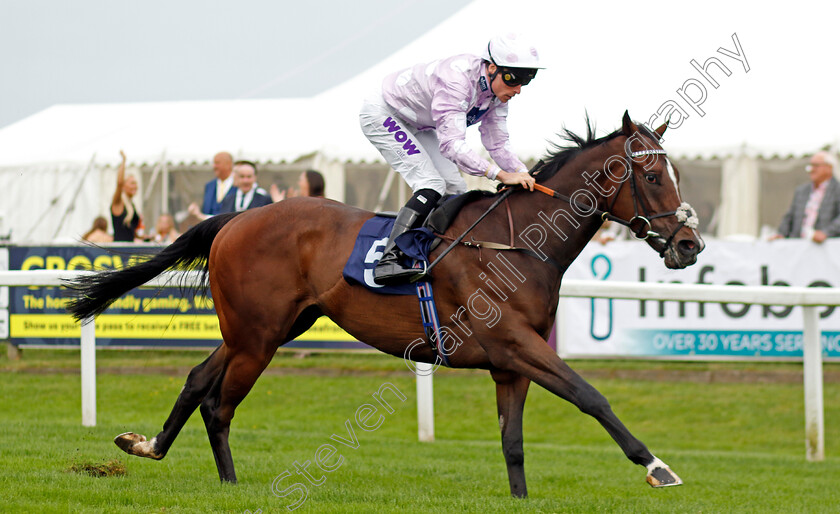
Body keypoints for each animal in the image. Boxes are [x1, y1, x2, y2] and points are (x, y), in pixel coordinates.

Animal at [65, 112, 704, 496]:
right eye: (651, 175)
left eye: (675, 172)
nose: (689, 244)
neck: (519, 243)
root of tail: (236, 217)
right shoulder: (516, 345)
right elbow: (591, 396)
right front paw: (658, 467)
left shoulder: (510, 365)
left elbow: (514, 443)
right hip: (258, 336)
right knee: (219, 405)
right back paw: (230, 485)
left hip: (266, 328)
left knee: (200, 379)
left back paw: (149, 447)